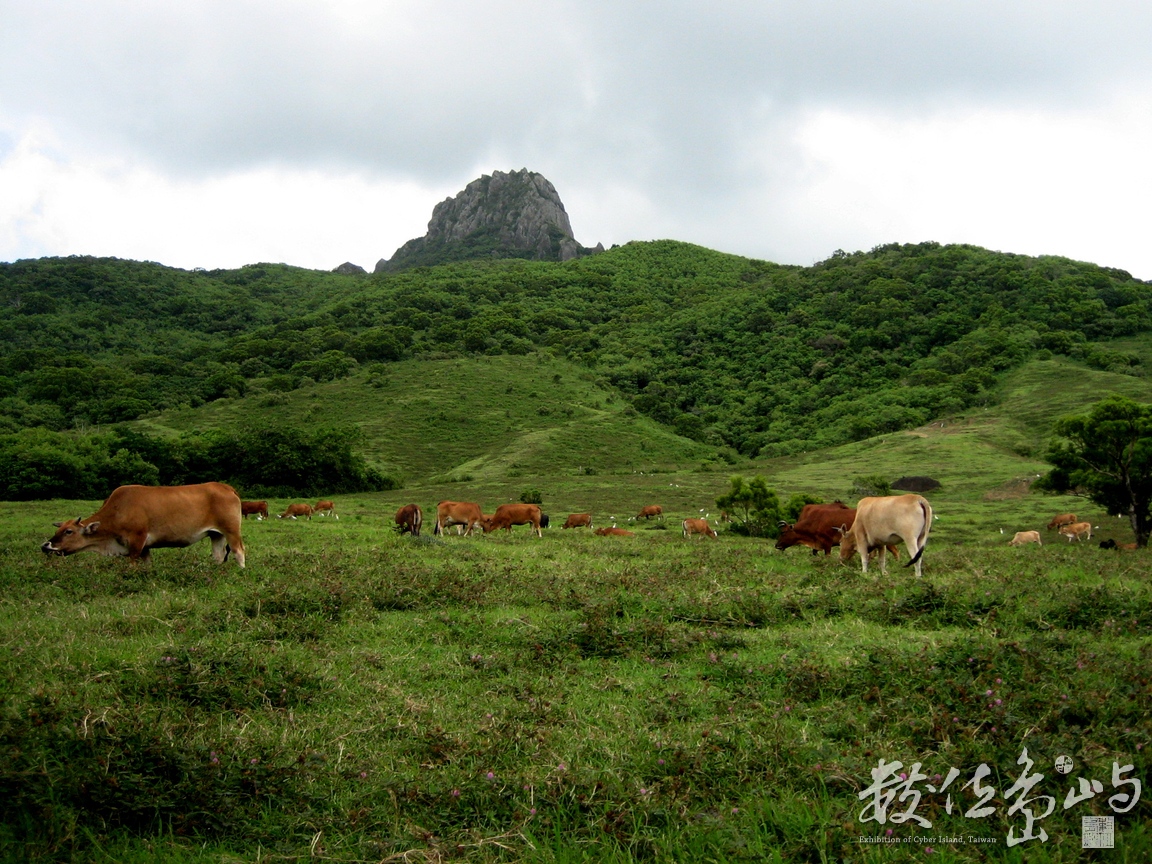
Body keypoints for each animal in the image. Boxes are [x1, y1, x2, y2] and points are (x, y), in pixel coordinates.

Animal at [41, 481, 245, 569]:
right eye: (58, 529)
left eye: (69, 531)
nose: (46, 545)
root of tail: (225, 487)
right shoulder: (145, 546)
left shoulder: (136, 541)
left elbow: (133, 564)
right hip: (216, 534)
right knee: (218, 555)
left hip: (231, 530)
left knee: (238, 551)